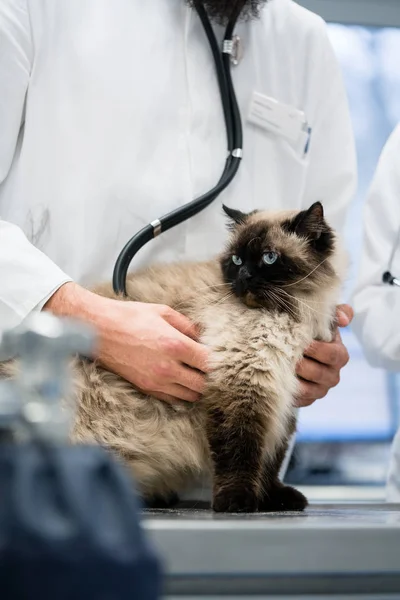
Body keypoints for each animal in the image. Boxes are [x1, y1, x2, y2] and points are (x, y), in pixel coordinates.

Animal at [0, 202, 346, 510]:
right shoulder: (241, 384)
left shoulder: (285, 396)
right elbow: (239, 452)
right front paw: (237, 502)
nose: (244, 277)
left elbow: (271, 459)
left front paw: (275, 498)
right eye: (236, 260)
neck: (291, 315)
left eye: (269, 258)